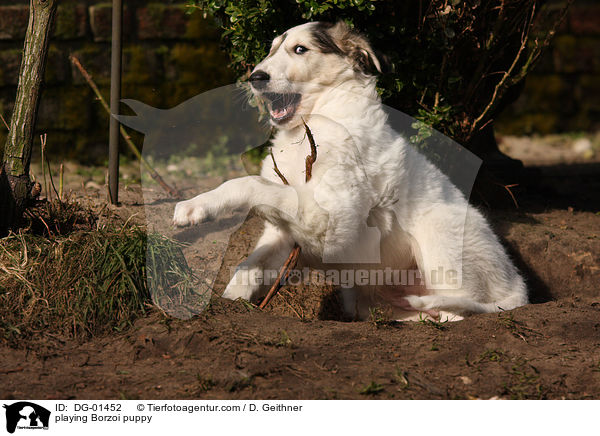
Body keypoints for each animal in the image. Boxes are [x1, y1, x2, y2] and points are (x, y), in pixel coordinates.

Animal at [171, 21, 528, 320]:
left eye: (300, 49)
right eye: (271, 50)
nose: (254, 77)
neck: (311, 127)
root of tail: (519, 288)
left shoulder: (331, 220)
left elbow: (249, 184)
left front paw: (194, 207)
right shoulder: (284, 234)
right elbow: (251, 262)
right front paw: (229, 302)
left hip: (441, 233)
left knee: (469, 307)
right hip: (363, 293)